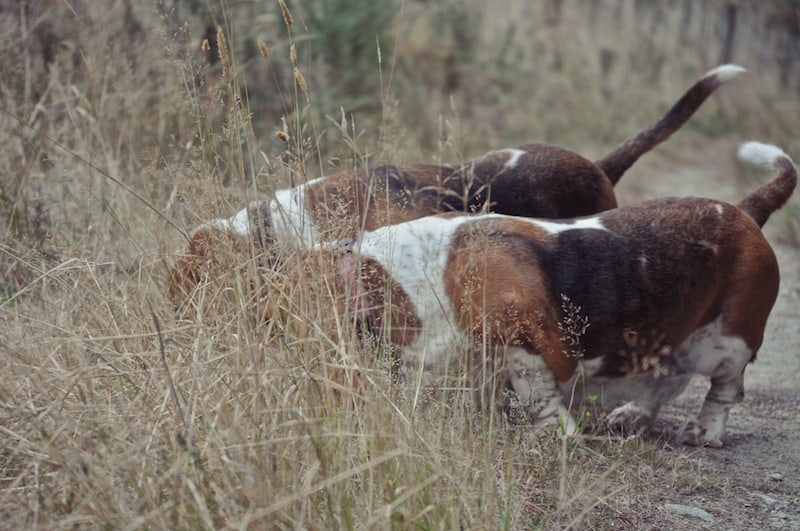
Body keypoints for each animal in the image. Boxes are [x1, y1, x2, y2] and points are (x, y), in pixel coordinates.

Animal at [296, 139, 796, 446]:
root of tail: (744, 212)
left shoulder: (526, 345)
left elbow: (538, 391)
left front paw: (553, 434)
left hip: (726, 342)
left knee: (723, 388)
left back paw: (703, 431)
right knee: (667, 378)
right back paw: (631, 417)